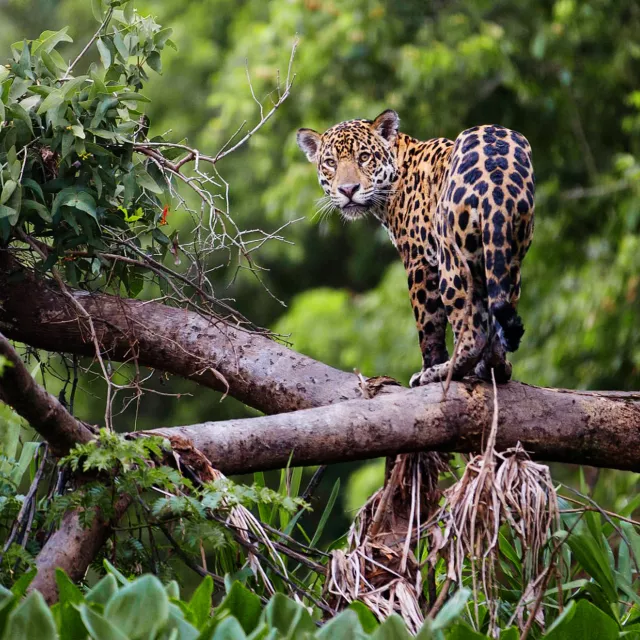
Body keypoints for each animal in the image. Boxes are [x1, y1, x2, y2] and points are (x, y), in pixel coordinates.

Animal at [296, 110, 534, 386]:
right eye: (331, 163)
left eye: (364, 157)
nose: (348, 190)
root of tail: (497, 178)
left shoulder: (419, 261)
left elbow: (428, 326)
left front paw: (428, 367)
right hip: (507, 256)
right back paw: (495, 366)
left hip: (452, 261)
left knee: (472, 334)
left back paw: (441, 372)